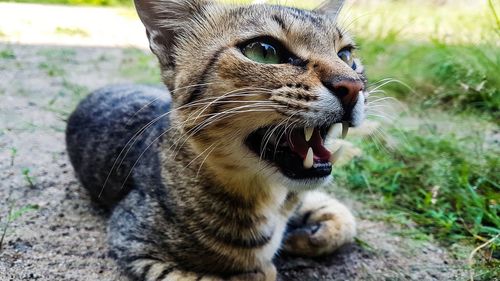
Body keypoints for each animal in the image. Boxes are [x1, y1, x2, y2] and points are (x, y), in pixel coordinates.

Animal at [65, 0, 368, 278]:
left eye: (345, 55)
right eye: (264, 51)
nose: (353, 85)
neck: (270, 197)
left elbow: (345, 217)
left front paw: (307, 235)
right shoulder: (133, 241)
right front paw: (263, 267)